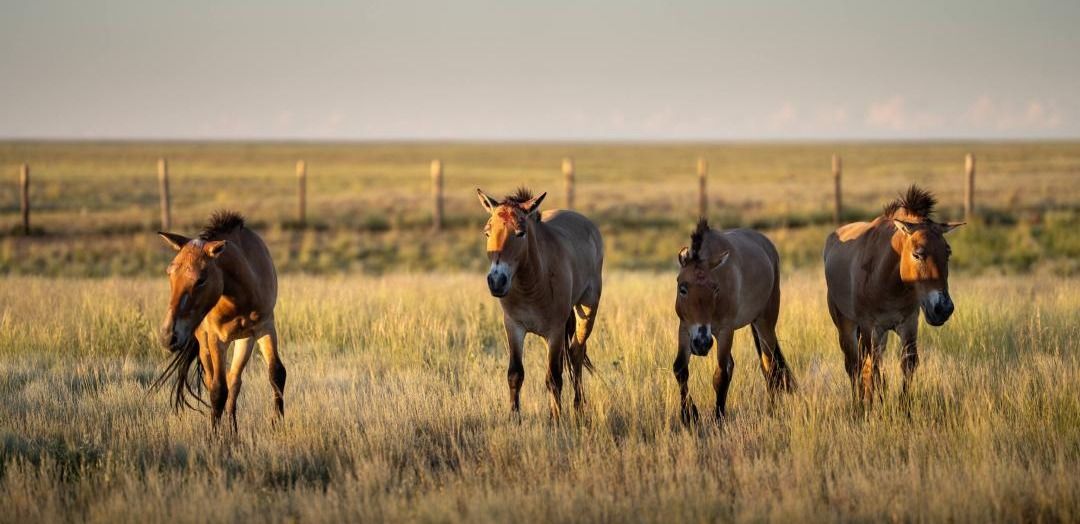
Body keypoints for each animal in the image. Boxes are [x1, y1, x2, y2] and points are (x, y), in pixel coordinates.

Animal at [153, 210, 286, 431]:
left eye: (201, 279)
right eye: (169, 273)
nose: (167, 336)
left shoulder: (265, 326)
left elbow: (276, 373)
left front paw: (278, 424)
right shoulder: (216, 338)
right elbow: (217, 390)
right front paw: (214, 435)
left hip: (244, 340)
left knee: (234, 380)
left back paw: (233, 429)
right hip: (205, 343)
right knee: (213, 381)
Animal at [476, 187, 604, 420]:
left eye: (520, 232)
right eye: (487, 232)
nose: (497, 281)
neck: (532, 284)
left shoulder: (555, 330)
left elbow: (553, 377)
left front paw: (556, 419)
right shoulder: (514, 326)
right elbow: (515, 374)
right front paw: (514, 418)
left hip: (587, 311)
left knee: (576, 353)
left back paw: (578, 406)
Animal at [674, 219, 796, 424]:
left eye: (715, 289)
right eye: (683, 289)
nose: (702, 343)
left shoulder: (725, 331)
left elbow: (721, 375)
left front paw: (718, 418)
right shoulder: (685, 328)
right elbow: (680, 370)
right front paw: (689, 416)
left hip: (765, 323)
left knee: (770, 367)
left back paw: (772, 411)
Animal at [823, 185, 963, 405]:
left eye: (947, 253)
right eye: (917, 254)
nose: (943, 308)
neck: (890, 285)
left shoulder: (908, 324)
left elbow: (907, 364)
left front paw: (903, 405)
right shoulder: (870, 327)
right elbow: (874, 369)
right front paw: (878, 405)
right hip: (846, 326)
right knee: (854, 366)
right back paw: (858, 403)